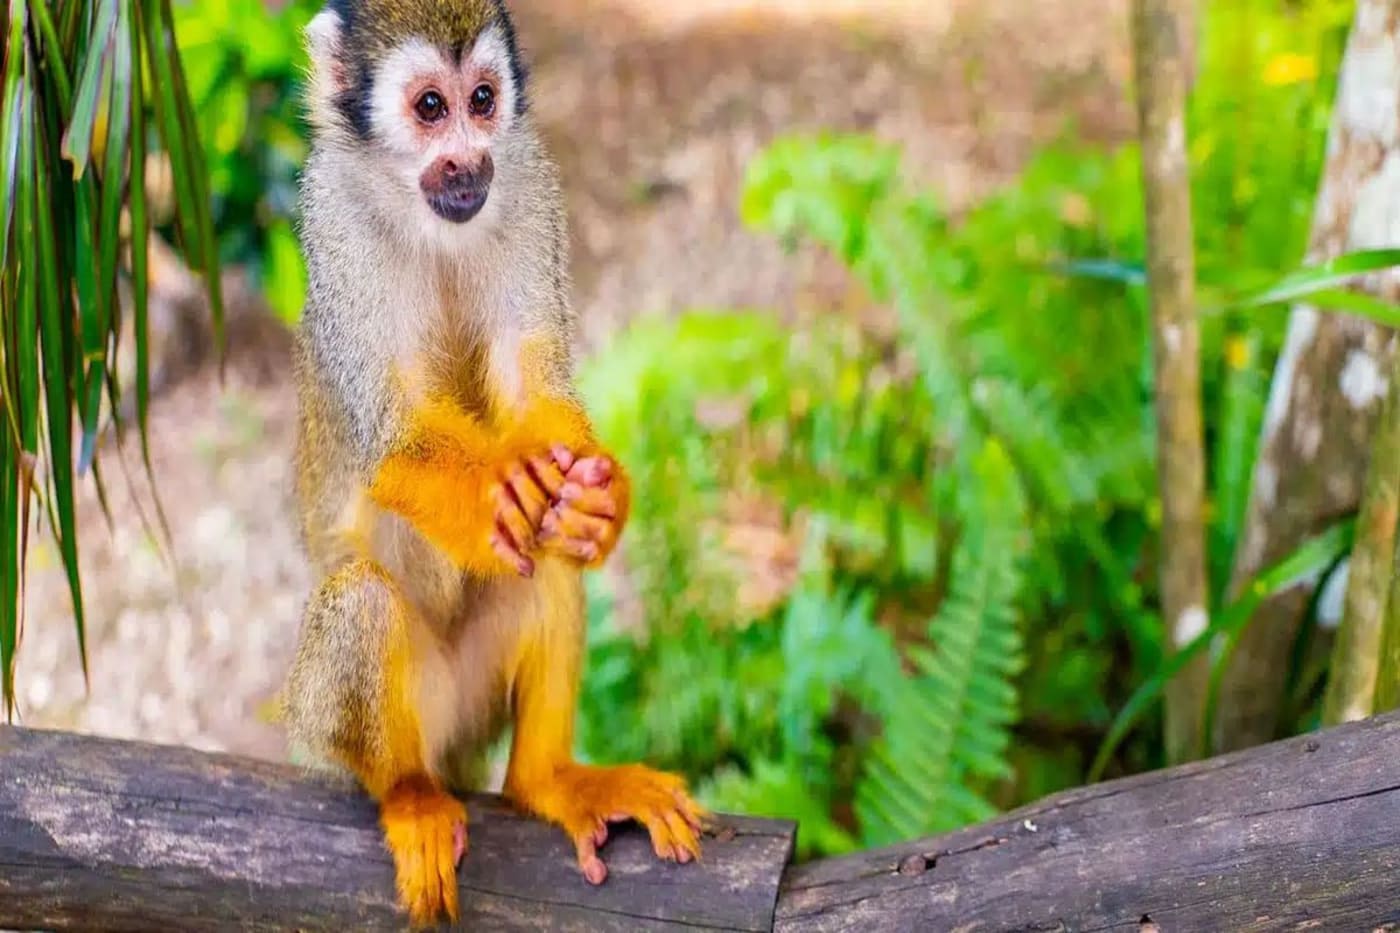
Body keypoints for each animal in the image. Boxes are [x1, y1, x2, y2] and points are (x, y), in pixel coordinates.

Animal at [279, 1, 703, 926]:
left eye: (482, 99)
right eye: (429, 109)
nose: (470, 160)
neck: (419, 213)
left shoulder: (532, 181)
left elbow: (534, 389)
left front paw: (601, 498)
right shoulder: (331, 224)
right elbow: (395, 433)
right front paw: (492, 493)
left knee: (548, 556)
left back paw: (547, 780)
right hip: (337, 724)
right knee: (361, 600)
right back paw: (407, 791)